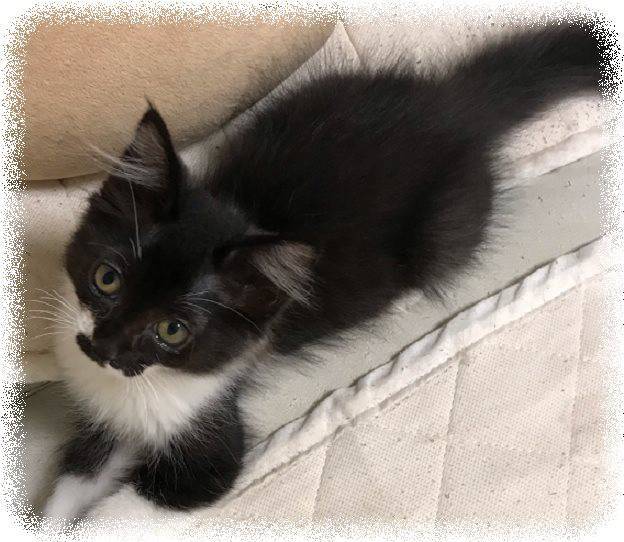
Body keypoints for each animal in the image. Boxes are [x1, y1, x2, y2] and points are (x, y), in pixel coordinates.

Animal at [39, 22, 601, 521]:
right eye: (107, 278)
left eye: (172, 330)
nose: (104, 348)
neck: (137, 388)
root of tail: (454, 104)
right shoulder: (101, 420)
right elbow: (74, 483)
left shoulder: (211, 440)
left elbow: (130, 507)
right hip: (301, 99)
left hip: (444, 230)